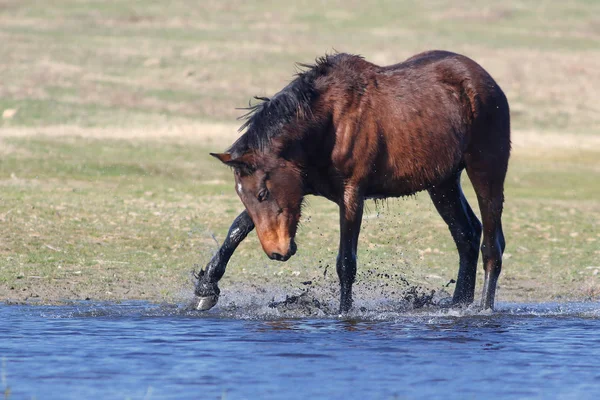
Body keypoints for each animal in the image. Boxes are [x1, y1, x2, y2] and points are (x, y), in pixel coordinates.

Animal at [197, 49, 510, 312]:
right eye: (244, 195)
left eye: (263, 193)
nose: (278, 252)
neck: (328, 124)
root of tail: (487, 82)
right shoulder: (302, 185)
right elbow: (238, 227)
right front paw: (206, 287)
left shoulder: (351, 195)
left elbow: (346, 261)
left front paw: (344, 312)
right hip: (442, 184)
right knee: (466, 235)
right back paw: (458, 305)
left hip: (486, 171)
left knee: (491, 245)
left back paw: (484, 308)